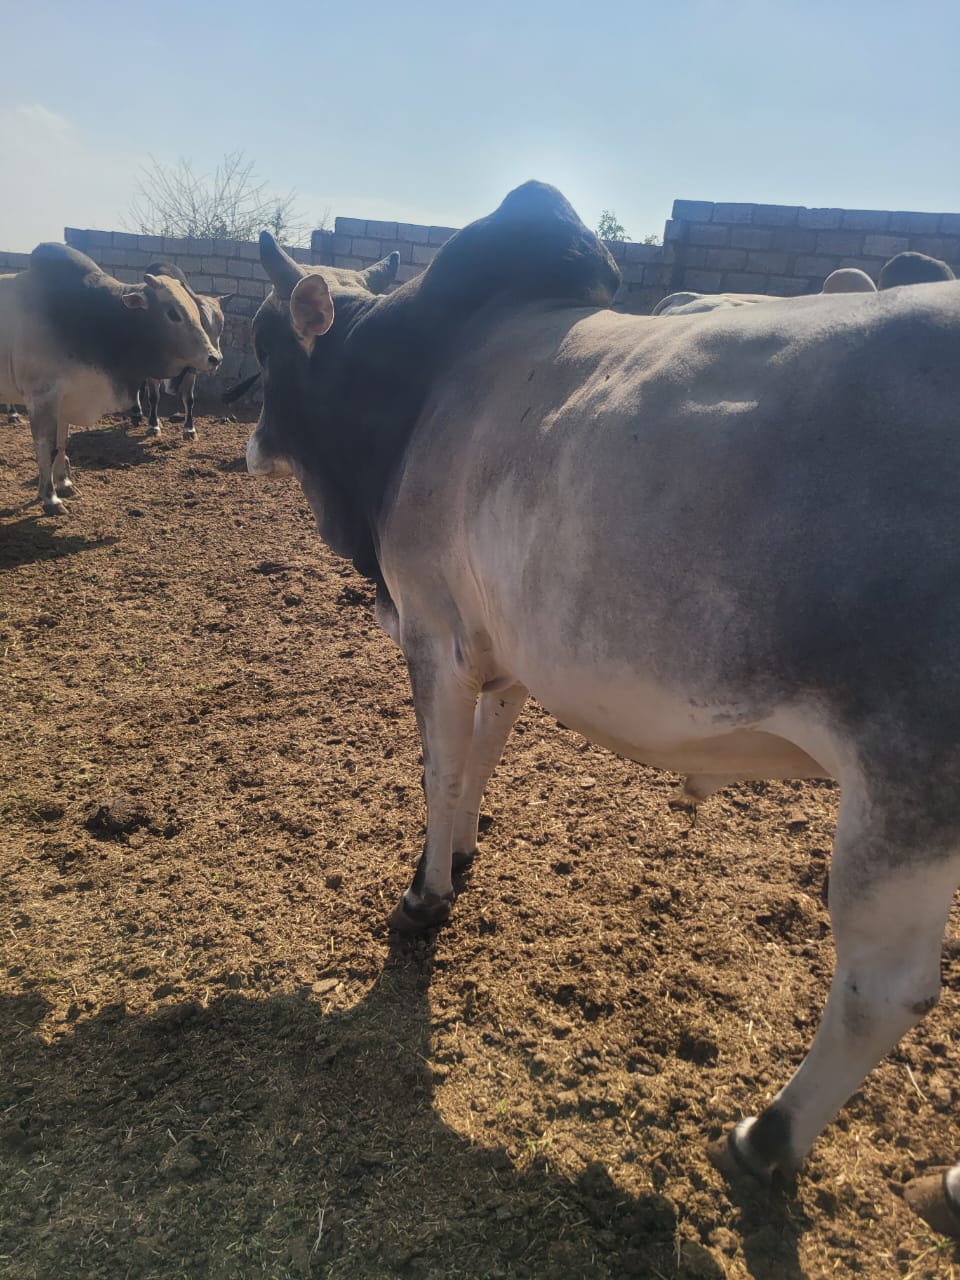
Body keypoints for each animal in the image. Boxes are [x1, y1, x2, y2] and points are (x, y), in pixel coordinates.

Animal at [0, 243, 222, 514]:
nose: (214, 357)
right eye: (172, 313)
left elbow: (62, 443)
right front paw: (50, 498)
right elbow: (48, 447)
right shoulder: (42, 398)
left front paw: (64, 484)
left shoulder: (65, 399)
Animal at [134, 261, 233, 441]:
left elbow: (189, 399)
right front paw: (153, 425)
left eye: (221, 327)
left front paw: (189, 429)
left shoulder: (191, 369)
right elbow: (154, 398)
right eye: (201, 322)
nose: (216, 359)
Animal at [245, 180, 960, 1237]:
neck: (425, 377)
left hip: (906, 785)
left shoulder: (434, 630)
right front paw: (460, 854)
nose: (248, 438)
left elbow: (441, 767)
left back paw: (768, 1138)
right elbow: (484, 754)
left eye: (261, 344)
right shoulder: (503, 648)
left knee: (884, 990)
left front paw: (424, 899)